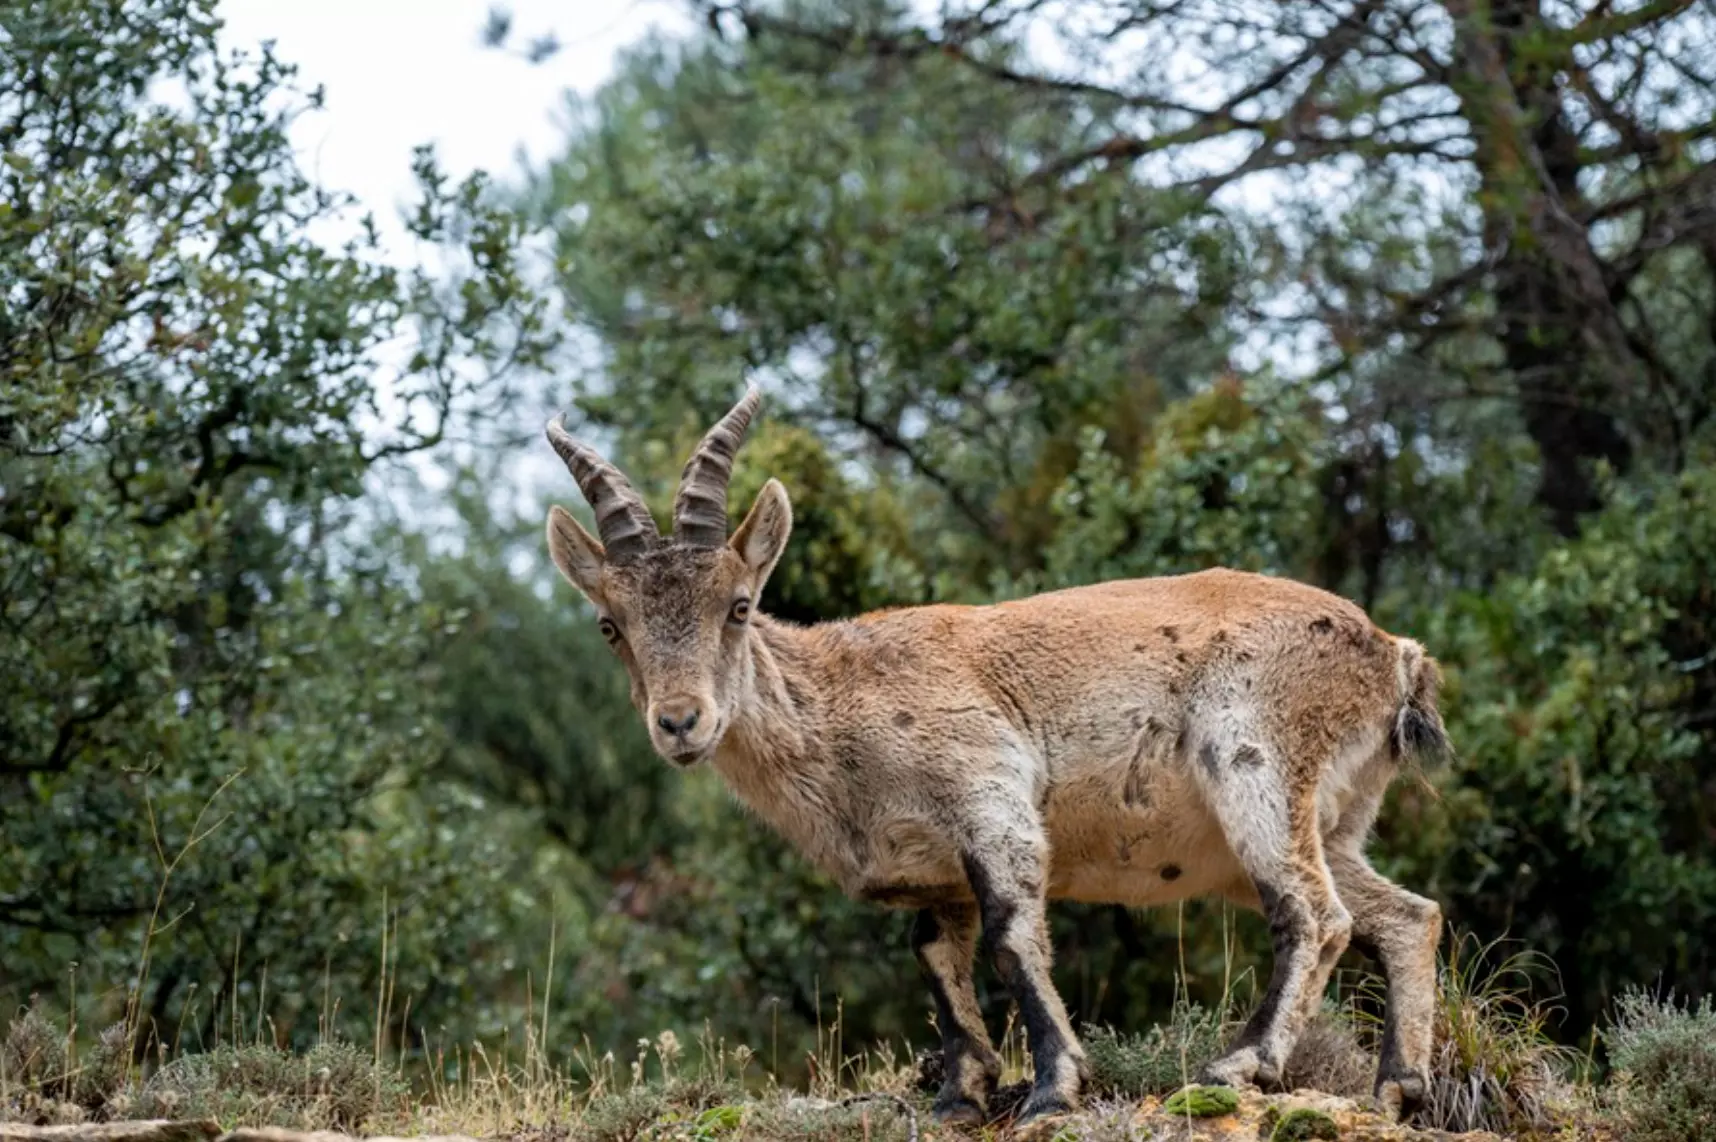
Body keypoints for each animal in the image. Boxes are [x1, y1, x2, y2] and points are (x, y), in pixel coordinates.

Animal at [544, 388, 1449, 1127]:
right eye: (611, 626)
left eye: (737, 606)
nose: (680, 721)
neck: (841, 707)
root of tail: (1394, 656)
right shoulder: (934, 871)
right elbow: (937, 960)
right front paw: (959, 1095)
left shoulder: (991, 801)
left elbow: (1012, 939)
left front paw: (1053, 1088)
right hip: (1323, 822)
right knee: (1407, 915)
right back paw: (1397, 1088)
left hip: (1256, 764)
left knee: (1316, 914)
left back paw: (1241, 1063)